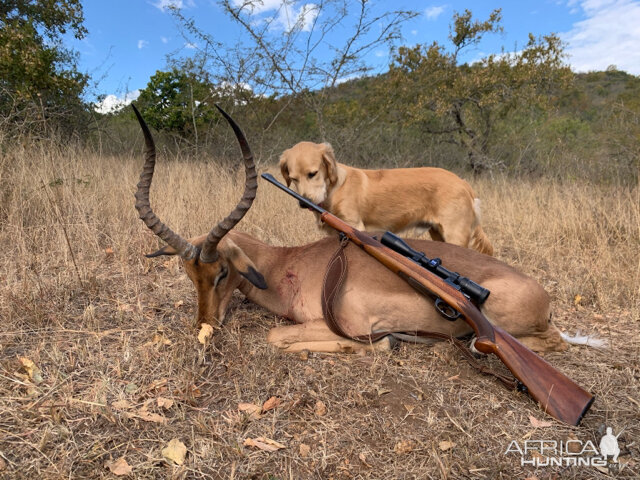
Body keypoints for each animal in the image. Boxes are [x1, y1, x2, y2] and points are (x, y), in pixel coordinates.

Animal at [280, 141, 496, 256]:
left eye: (313, 173)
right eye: (293, 178)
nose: (303, 202)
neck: (333, 188)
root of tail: (463, 183)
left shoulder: (355, 226)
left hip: (455, 235)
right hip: (438, 233)